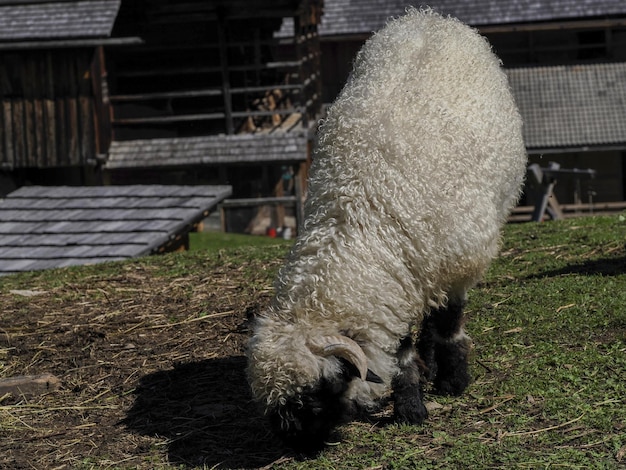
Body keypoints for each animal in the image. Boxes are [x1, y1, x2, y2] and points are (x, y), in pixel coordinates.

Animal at [245, 8, 528, 452]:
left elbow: (450, 321)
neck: (361, 216)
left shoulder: (460, 261)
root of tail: (427, 16)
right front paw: (412, 401)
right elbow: (402, 351)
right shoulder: (398, 283)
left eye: (318, 393)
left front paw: (452, 381)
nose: (297, 446)